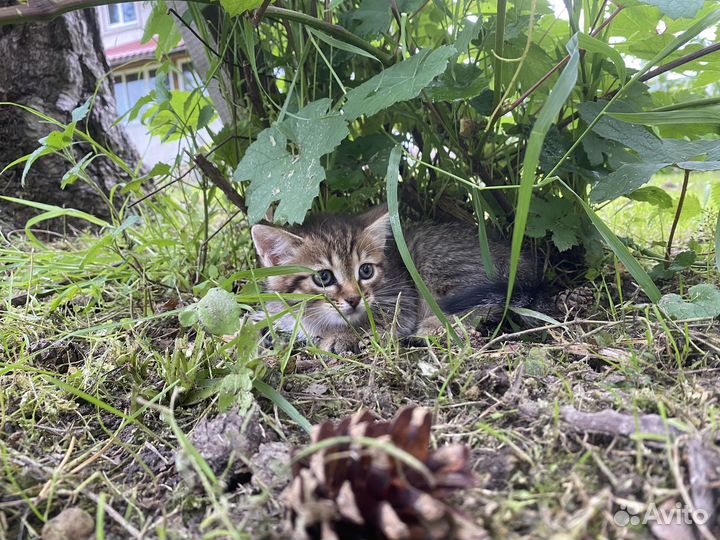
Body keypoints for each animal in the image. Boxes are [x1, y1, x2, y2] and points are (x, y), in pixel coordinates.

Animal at [252, 205, 540, 352]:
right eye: (323, 277)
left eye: (365, 271)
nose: (355, 299)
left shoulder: (402, 298)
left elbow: (380, 321)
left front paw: (343, 336)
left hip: (433, 261)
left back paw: (434, 327)